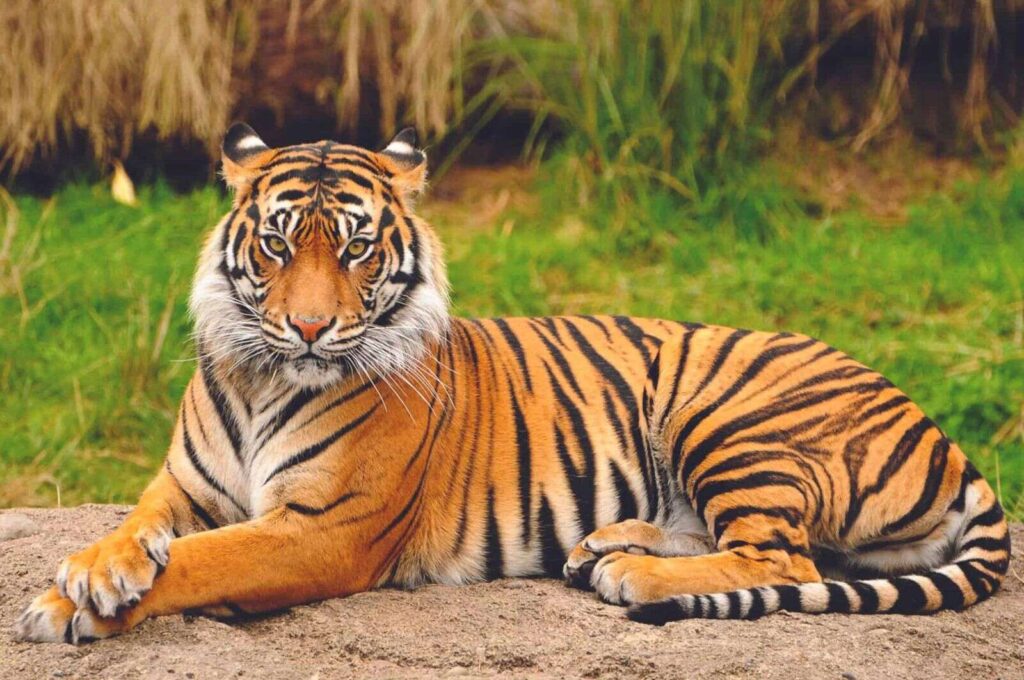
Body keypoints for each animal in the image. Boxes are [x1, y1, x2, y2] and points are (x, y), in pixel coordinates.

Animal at [14, 123, 1010, 643]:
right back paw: (606, 546)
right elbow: (138, 528)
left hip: (727, 413)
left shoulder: (324, 529)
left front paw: (67, 605)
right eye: (275, 244)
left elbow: (206, 559)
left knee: (785, 558)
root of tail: (942, 434)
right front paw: (94, 571)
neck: (265, 378)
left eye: (357, 249)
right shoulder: (184, 485)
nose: (309, 328)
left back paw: (633, 577)